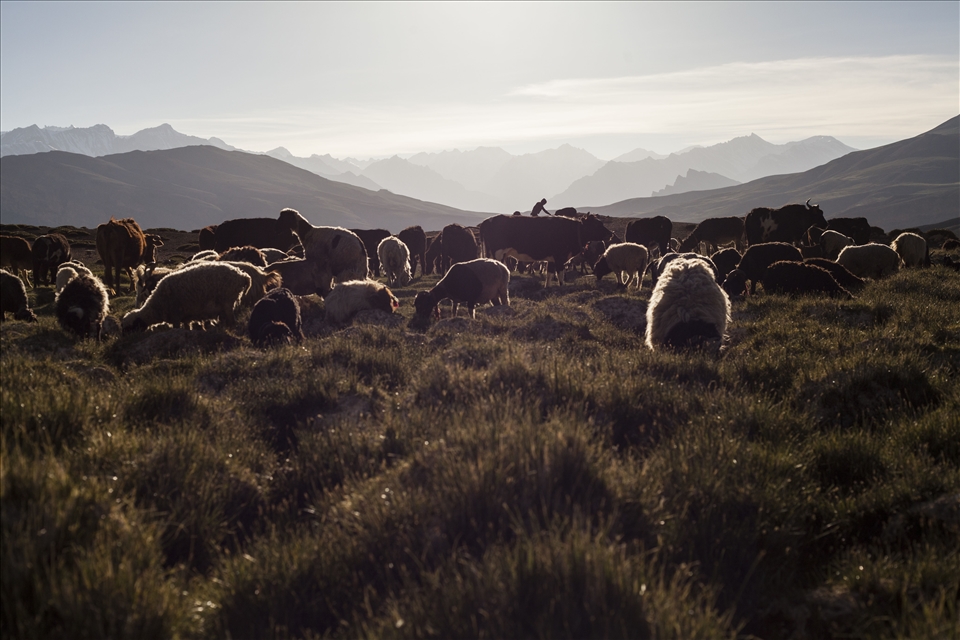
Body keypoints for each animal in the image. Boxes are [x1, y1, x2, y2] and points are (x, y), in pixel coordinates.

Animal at [121, 262, 251, 333]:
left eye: (130, 327)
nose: (124, 340)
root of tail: (242, 275)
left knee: (232, 322)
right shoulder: (185, 318)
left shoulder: (176, 317)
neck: (157, 305)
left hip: (227, 302)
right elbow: (187, 328)